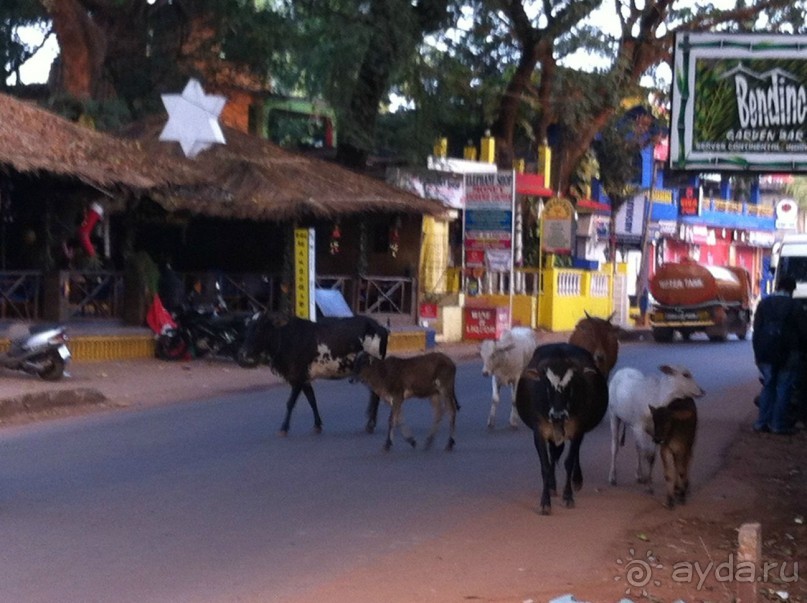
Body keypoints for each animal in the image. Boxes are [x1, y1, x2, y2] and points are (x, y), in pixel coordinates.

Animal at [237, 314, 388, 436]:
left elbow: (290, 403)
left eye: (260, 328)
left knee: (376, 394)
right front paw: (317, 425)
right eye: (248, 328)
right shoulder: (304, 379)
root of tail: (379, 326)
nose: (243, 352)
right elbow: (312, 400)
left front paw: (284, 428)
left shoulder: (297, 379)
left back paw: (370, 424)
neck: (286, 338)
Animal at [516, 342, 608, 516]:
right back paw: (552, 486)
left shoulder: (578, 430)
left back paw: (577, 480)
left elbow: (569, 462)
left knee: (573, 454)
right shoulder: (539, 433)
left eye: (570, 384)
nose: (558, 415)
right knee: (553, 454)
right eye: (547, 384)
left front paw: (568, 496)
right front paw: (545, 502)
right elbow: (545, 466)